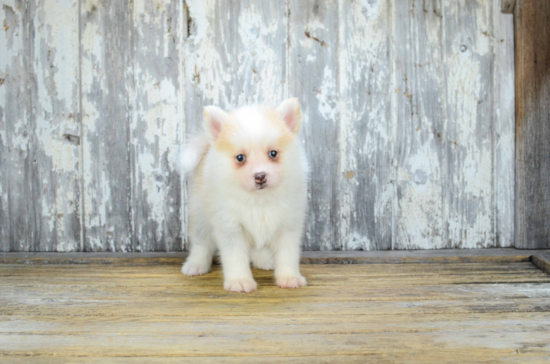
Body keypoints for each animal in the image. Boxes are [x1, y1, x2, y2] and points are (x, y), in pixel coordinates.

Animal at [181, 99, 310, 292]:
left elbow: (288, 255)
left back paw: (264, 260)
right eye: (240, 158)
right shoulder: (231, 228)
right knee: (201, 243)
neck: (258, 200)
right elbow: (235, 257)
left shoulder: (288, 226)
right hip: (200, 216)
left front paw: (289, 277)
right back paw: (195, 265)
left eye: (273, 153)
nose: (260, 176)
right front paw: (239, 281)